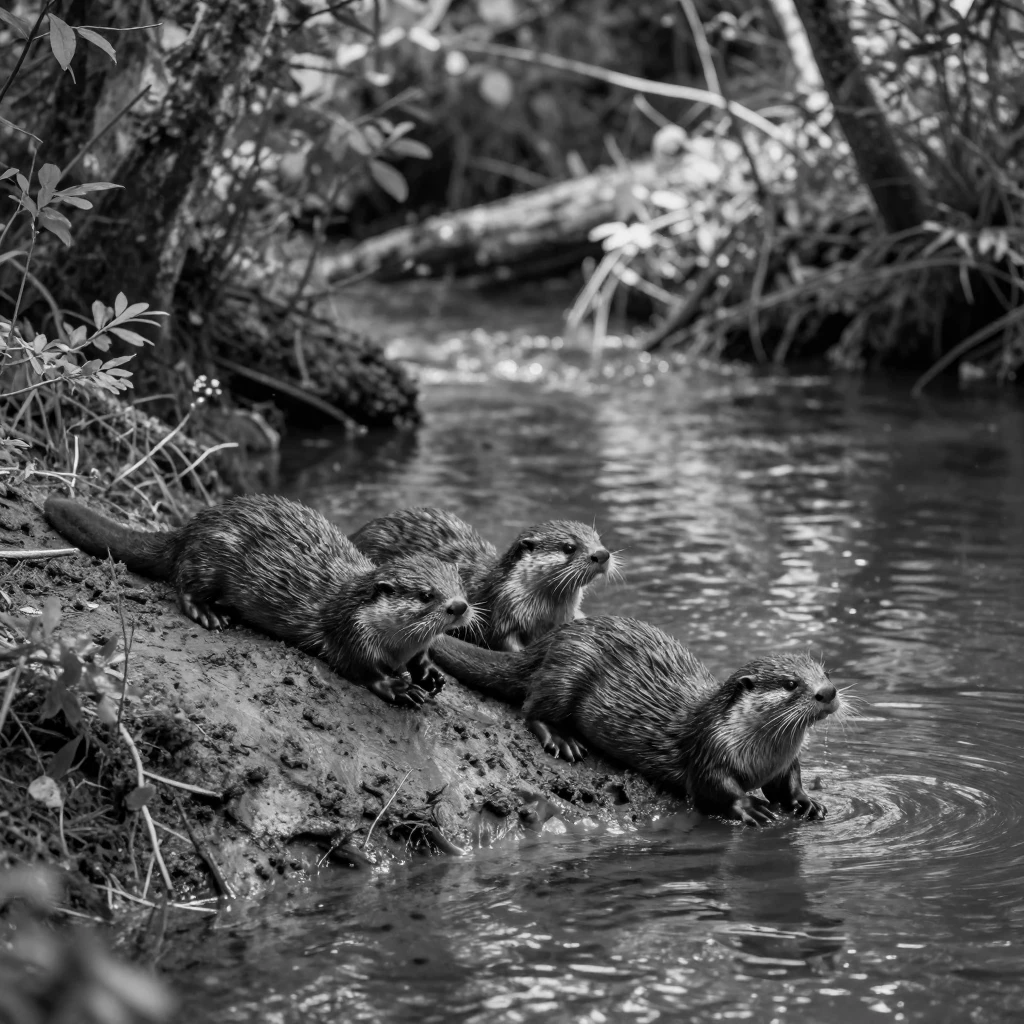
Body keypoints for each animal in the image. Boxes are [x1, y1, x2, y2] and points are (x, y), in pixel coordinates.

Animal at [43, 493, 474, 707]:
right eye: (427, 595)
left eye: (460, 586)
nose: (459, 607)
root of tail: (191, 527)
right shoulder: (349, 633)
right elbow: (360, 669)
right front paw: (400, 688)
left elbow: (421, 658)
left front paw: (429, 674)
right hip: (208, 558)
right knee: (184, 585)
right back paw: (208, 613)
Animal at [428, 618, 843, 825]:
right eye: (791, 684)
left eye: (824, 672)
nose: (828, 691)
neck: (760, 755)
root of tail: (553, 638)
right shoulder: (708, 751)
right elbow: (714, 790)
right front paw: (749, 806)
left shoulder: (784, 763)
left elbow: (787, 784)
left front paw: (806, 802)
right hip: (568, 670)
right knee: (532, 707)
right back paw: (562, 741)